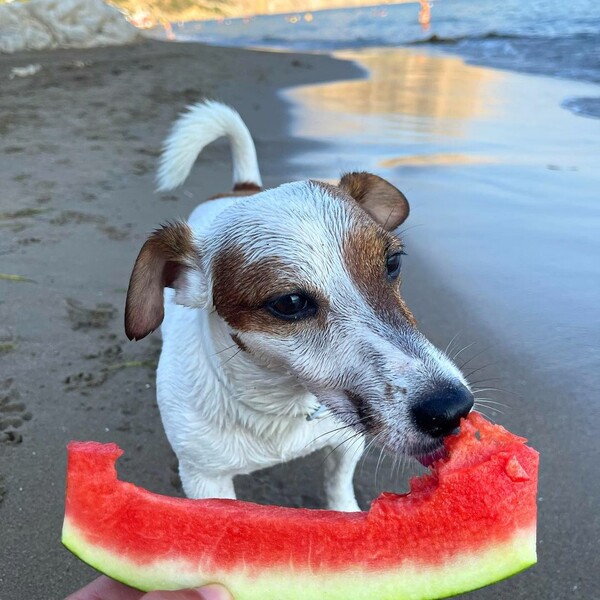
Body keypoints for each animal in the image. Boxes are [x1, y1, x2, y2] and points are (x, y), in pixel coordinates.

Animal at [125, 99, 474, 510]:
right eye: (289, 302)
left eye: (393, 263)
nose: (452, 409)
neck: (278, 405)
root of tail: (242, 189)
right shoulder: (204, 479)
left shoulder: (345, 443)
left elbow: (338, 486)